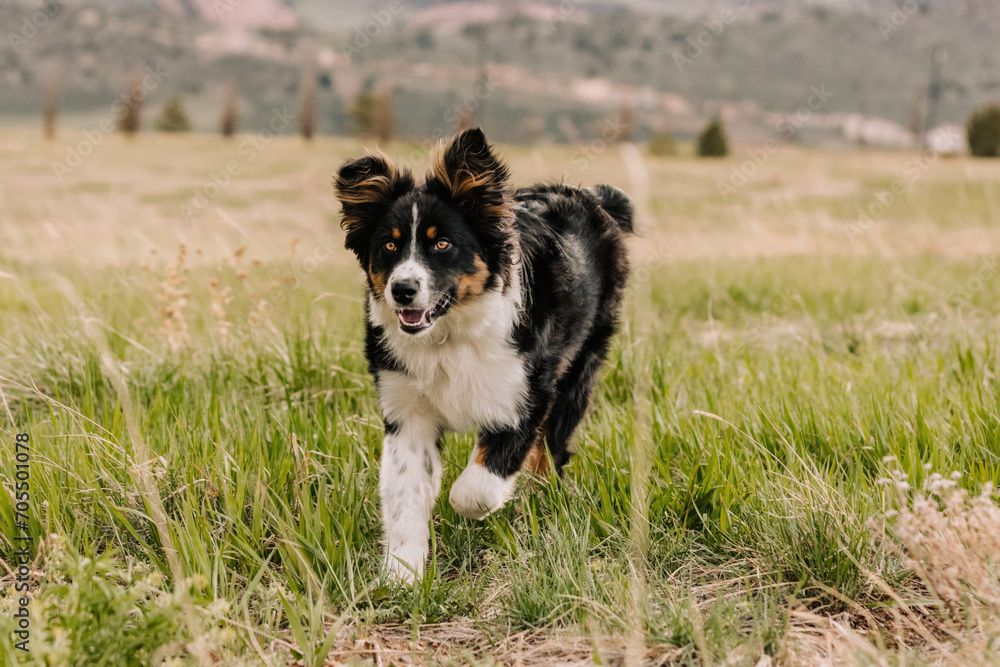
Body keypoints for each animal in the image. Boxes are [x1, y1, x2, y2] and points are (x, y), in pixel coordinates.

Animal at [336, 129, 632, 580]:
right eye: (389, 245)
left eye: (442, 243)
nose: (402, 290)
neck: (449, 335)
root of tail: (591, 196)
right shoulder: (406, 410)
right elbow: (406, 492)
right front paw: (402, 575)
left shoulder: (526, 393)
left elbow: (475, 486)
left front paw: (474, 505)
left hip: (579, 371)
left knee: (551, 450)